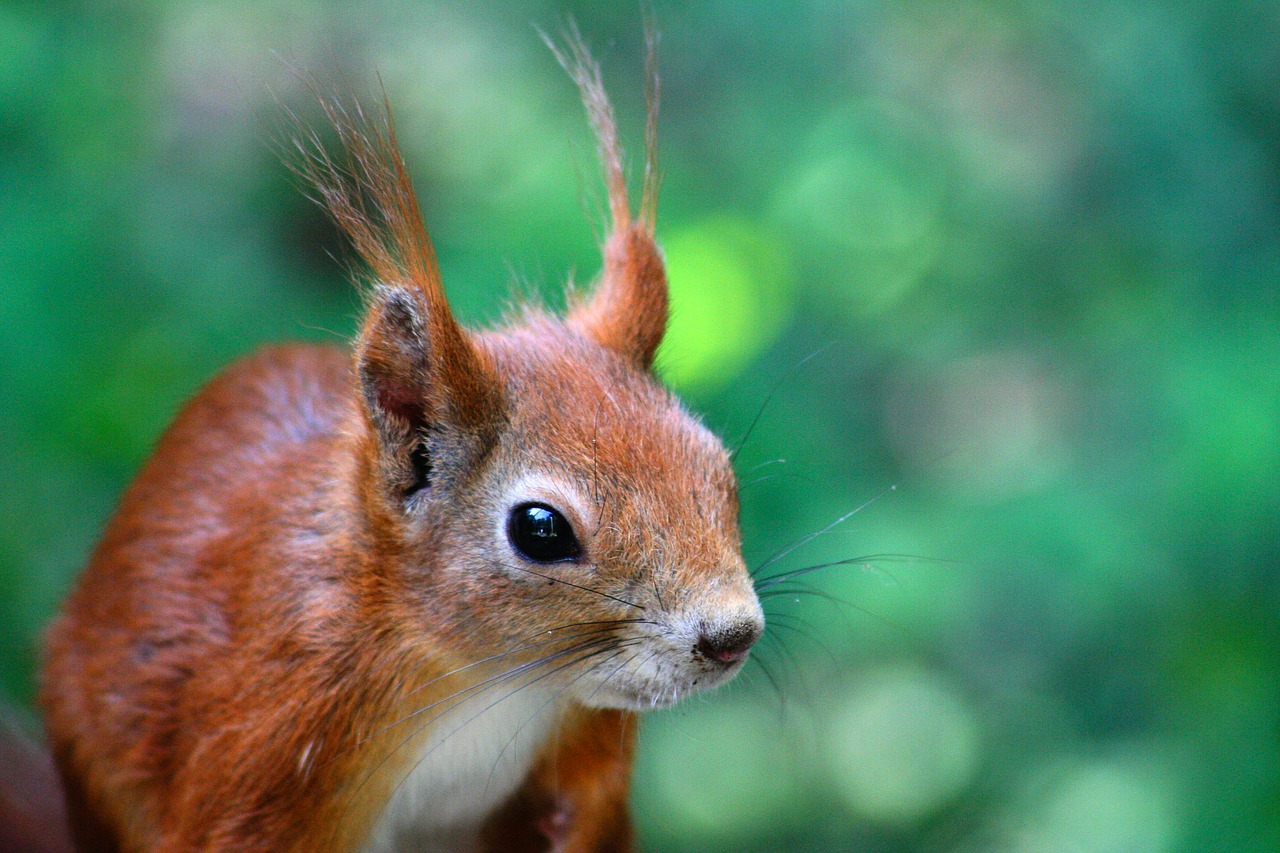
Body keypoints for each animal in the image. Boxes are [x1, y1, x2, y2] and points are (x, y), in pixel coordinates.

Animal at [37, 29, 757, 845]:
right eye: (540, 529)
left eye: (718, 467)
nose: (733, 633)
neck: (488, 683)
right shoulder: (268, 729)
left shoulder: (586, 746)